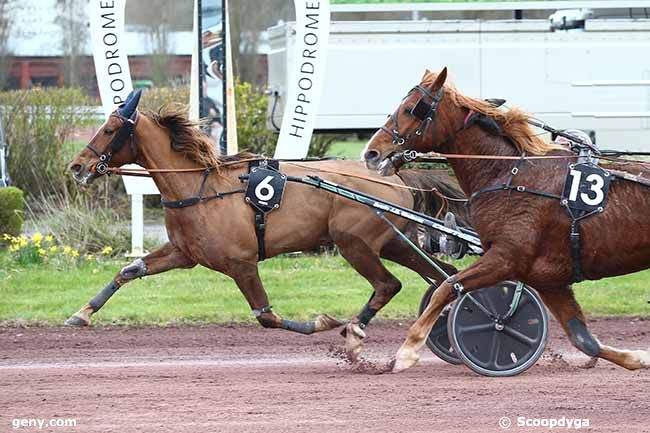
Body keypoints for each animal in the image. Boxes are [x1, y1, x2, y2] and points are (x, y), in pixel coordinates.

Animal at [66, 89, 464, 360]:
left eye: (110, 129)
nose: (77, 166)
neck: (200, 189)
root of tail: (395, 176)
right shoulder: (184, 253)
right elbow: (129, 270)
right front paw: (80, 314)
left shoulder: (241, 263)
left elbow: (267, 316)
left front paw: (323, 322)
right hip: (392, 242)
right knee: (442, 276)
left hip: (355, 243)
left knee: (389, 284)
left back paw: (355, 330)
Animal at [362, 67, 648, 372]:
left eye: (412, 109)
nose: (371, 153)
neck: (509, 174)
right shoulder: (549, 279)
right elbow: (583, 339)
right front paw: (637, 358)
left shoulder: (506, 258)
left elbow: (448, 287)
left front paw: (407, 351)